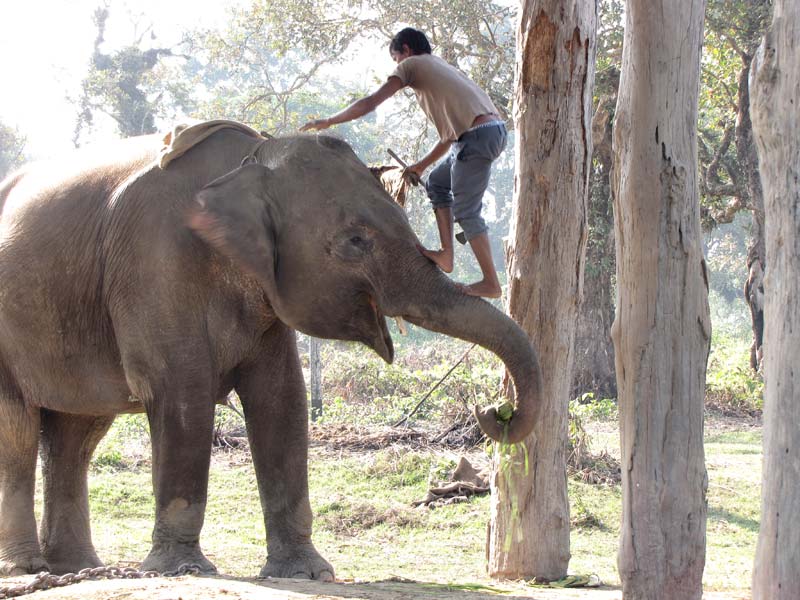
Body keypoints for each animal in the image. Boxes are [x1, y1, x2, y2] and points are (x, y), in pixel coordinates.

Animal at [0, 123, 544, 580]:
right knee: (20, 433)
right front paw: (182, 570)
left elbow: (282, 399)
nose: (497, 410)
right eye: (355, 241)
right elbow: (182, 392)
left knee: (78, 433)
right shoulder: (153, 262)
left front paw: (306, 574)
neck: (251, 159)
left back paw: (77, 568)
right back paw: (28, 569)